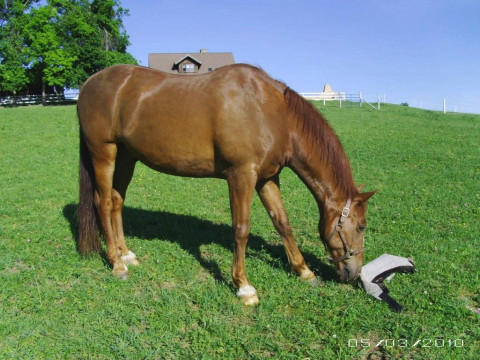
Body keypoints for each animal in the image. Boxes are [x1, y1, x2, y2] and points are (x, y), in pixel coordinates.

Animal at [77, 63, 376, 306]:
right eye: (361, 226)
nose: (354, 273)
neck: (271, 112)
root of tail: (89, 83)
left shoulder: (267, 178)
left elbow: (282, 222)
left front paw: (303, 271)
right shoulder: (241, 176)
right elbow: (241, 229)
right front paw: (244, 287)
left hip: (127, 156)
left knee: (117, 202)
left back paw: (126, 254)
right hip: (104, 153)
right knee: (103, 203)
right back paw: (117, 265)